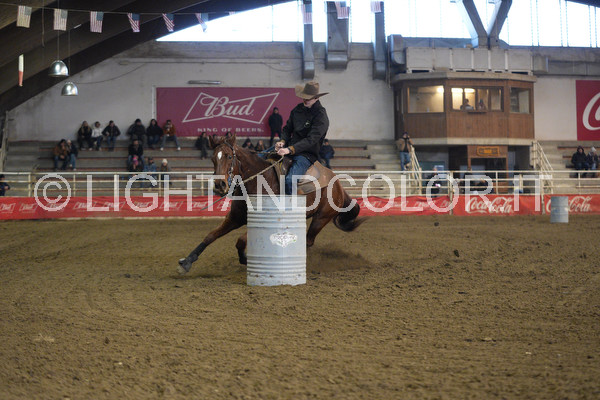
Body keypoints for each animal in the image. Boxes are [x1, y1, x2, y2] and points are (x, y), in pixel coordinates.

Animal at [177, 134, 364, 274]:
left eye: (229, 156)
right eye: (212, 159)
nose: (219, 185)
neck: (257, 183)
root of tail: (338, 184)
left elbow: (240, 240)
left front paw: (246, 259)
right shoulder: (235, 217)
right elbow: (210, 236)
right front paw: (187, 262)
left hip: (321, 218)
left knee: (309, 241)